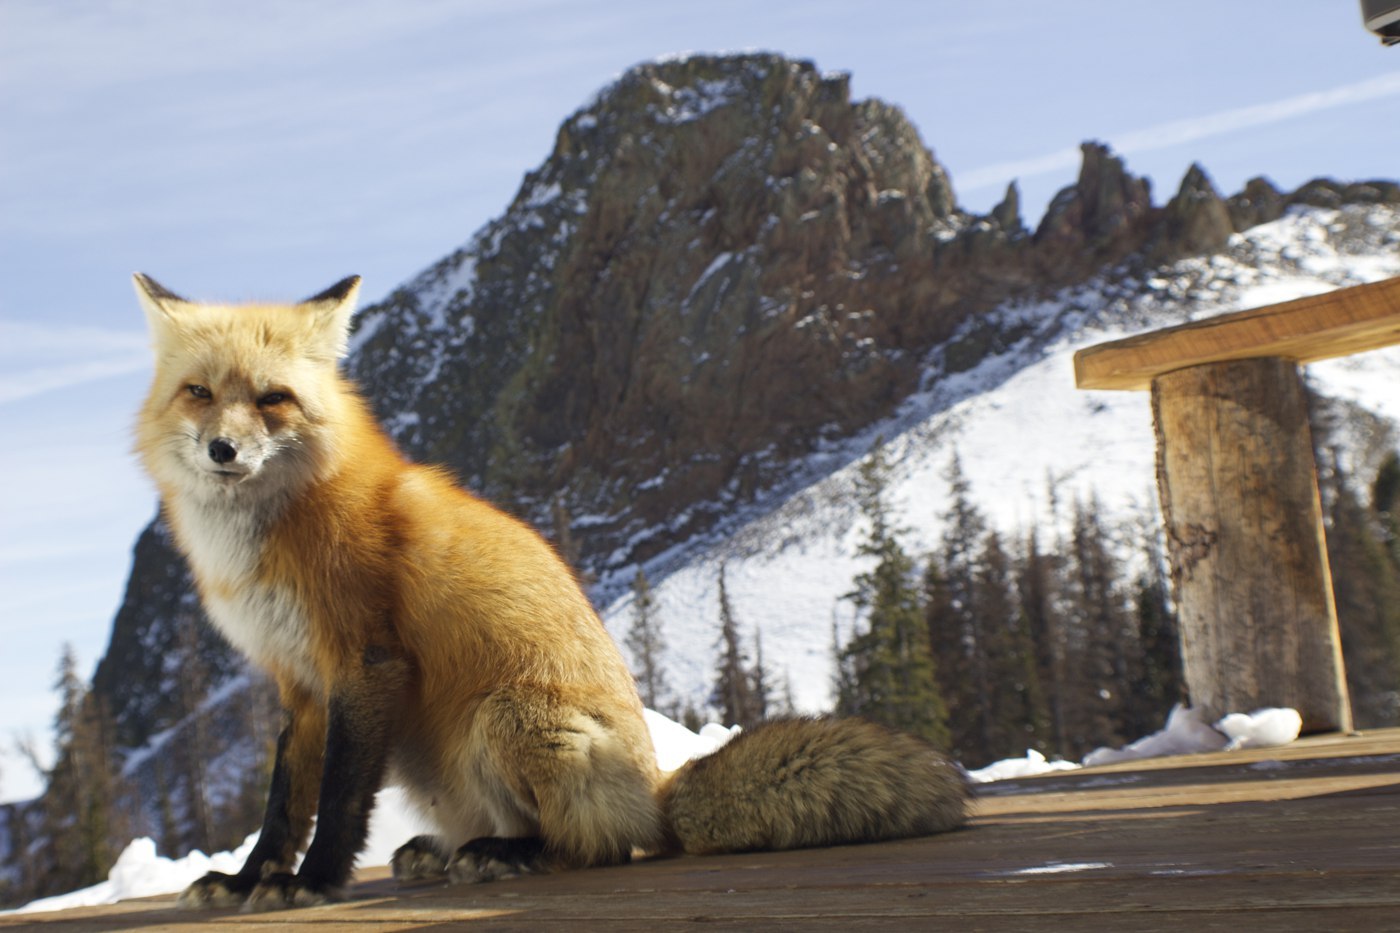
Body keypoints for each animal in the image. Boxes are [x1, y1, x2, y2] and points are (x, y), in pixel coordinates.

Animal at [133, 274, 963, 907]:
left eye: (271, 398)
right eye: (199, 392)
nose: (223, 449)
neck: (270, 534)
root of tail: (659, 791)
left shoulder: (364, 663)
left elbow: (336, 797)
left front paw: (313, 879)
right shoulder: (297, 681)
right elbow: (283, 801)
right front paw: (248, 880)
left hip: (505, 715)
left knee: (597, 847)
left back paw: (511, 854)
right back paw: (446, 850)